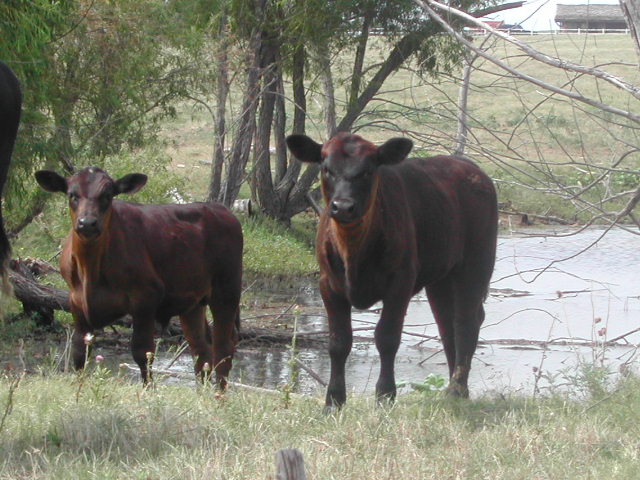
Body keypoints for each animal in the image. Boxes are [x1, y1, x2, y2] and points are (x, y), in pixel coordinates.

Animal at [35, 167, 245, 388]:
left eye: (107, 195)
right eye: (72, 195)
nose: (87, 223)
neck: (90, 273)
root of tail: (220, 209)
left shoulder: (145, 298)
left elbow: (142, 352)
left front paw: (148, 390)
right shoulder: (76, 302)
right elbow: (79, 352)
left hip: (227, 290)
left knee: (223, 346)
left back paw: (218, 393)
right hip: (193, 302)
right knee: (201, 349)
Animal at [286, 132, 500, 408]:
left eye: (368, 170)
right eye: (326, 168)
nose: (343, 206)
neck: (354, 252)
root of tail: (470, 167)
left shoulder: (400, 283)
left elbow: (387, 338)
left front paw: (385, 395)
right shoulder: (328, 285)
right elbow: (338, 342)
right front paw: (333, 400)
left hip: (476, 263)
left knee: (466, 321)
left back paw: (457, 388)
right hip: (441, 277)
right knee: (446, 322)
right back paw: (454, 388)